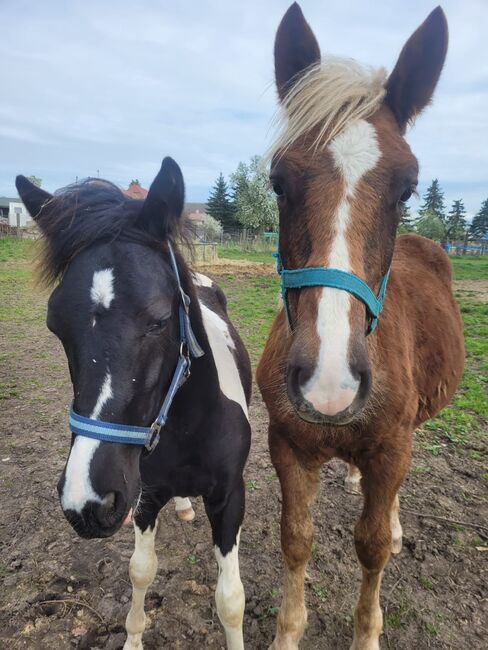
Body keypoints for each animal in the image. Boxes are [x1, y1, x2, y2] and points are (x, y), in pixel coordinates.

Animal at [15, 157, 252, 648]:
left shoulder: (230, 497)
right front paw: (133, 638)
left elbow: (230, 599)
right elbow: (141, 571)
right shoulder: (144, 496)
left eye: (159, 320)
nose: (87, 503)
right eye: (54, 324)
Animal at [258, 5, 464, 648]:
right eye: (278, 181)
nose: (330, 384)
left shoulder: (393, 447)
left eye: (408, 188)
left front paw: (368, 633)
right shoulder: (288, 447)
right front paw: (287, 633)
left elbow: (371, 546)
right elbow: (295, 539)